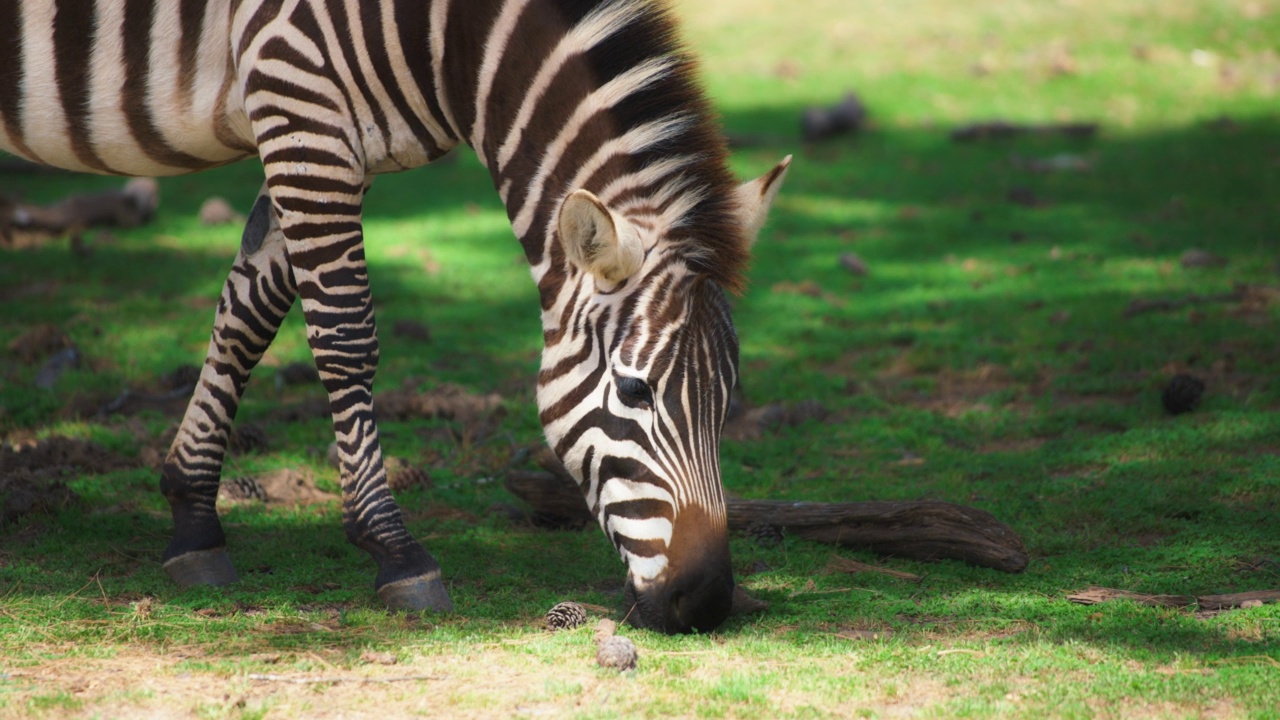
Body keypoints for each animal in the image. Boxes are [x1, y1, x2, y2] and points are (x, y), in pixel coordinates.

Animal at [0, 0, 788, 630]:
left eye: (729, 397)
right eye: (633, 389)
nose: (707, 602)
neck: (445, 35)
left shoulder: (324, 136)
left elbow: (249, 309)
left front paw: (193, 520)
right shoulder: (298, 99)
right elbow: (346, 333)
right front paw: (395, 550)